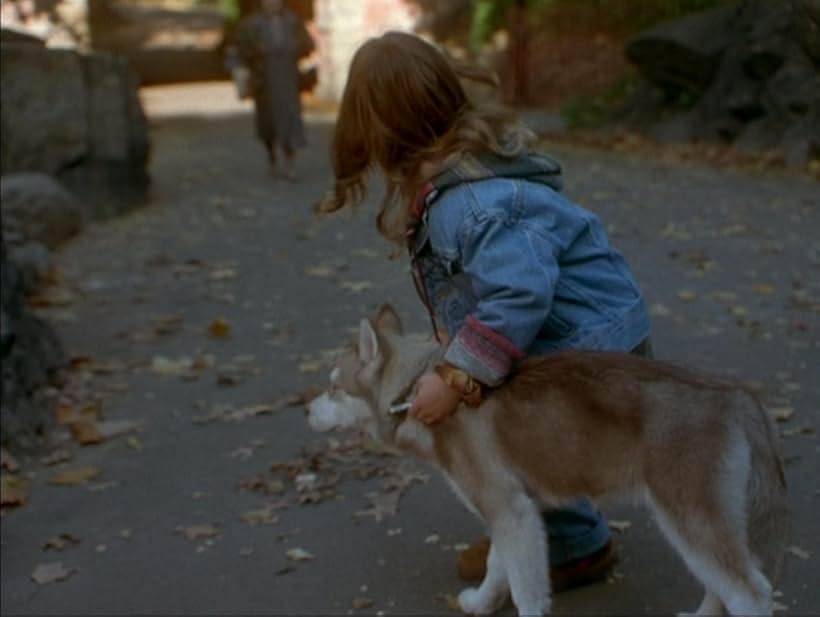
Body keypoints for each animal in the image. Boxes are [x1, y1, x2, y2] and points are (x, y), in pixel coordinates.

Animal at [306, 306, 788, 612]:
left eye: (333, 388)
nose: (306, 411)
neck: (416, 390)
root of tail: (735, 393)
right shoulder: (512, 512)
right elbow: (497, 566)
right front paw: (481, 604)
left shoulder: (509, 511)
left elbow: (525, 590)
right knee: (723, 585)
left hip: (690, 518)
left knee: (750, 593)